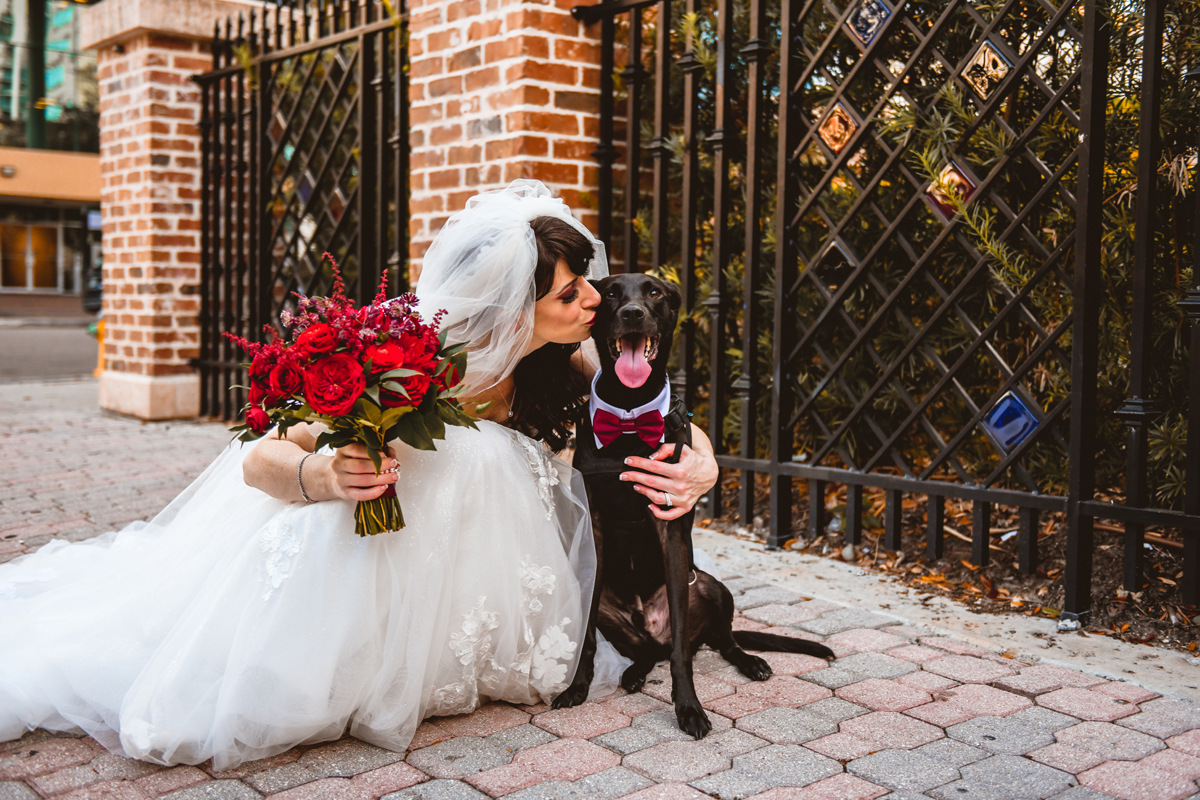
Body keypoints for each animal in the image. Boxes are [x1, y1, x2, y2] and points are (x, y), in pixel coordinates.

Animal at [554, 273, 830, 738]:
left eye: (654, 293)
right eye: (610, 293)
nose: (633, 314)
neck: (629, 413)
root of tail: (651, 629)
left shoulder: (671, 527)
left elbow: (683, 651)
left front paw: (689, 708)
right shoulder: (596, 531)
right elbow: (586, 635)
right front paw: (577, 687)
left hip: (711, 587)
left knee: (717, 641)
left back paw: (750, 662)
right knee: (647, 651)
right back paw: (634, 673)